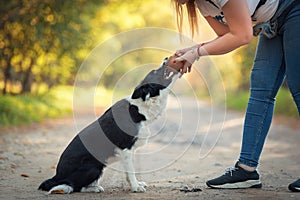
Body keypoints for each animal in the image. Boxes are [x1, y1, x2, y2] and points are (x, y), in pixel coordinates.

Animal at [38, 55, 182, 194]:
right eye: (155, 72)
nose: (166, 58)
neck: (140, 106)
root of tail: (57, 175)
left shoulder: (129, 152)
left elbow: (128, 173)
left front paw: (135, 184)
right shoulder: (126, 148)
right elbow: (131, 172)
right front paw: (136, 187)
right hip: (94, 166)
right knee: (74, 186)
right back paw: (94, 188)